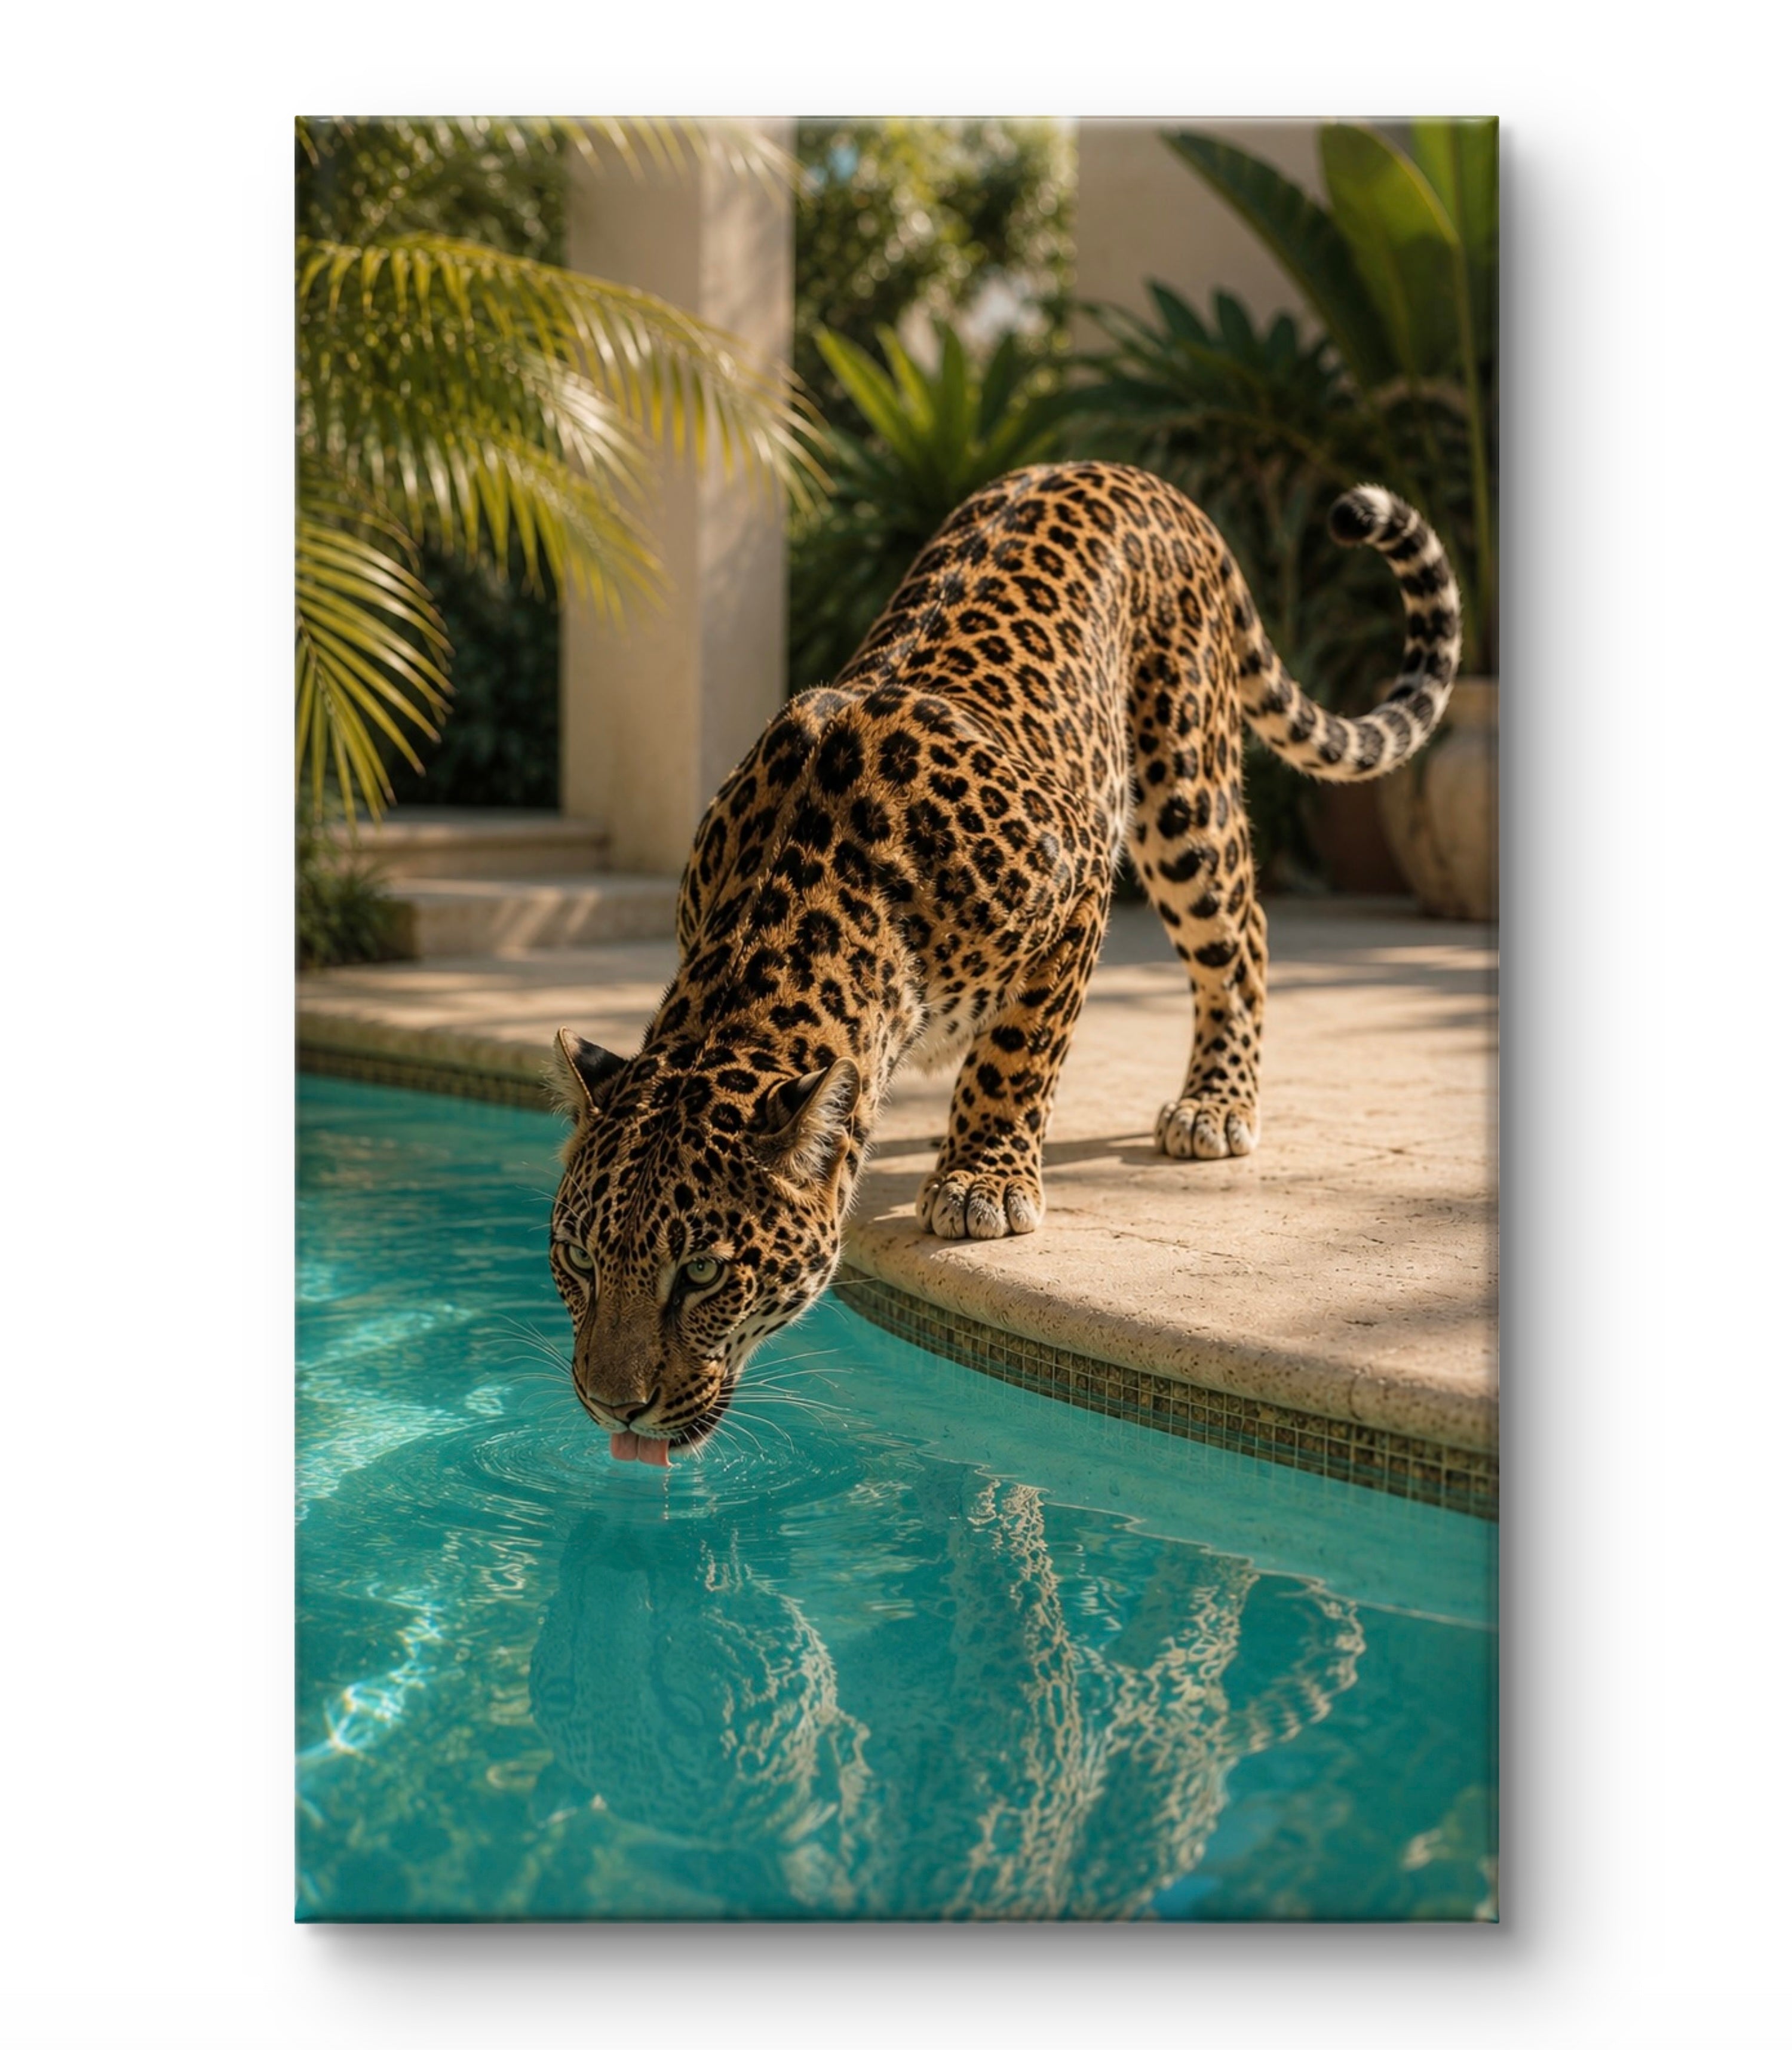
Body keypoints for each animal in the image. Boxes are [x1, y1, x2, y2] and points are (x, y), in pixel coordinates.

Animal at [547, 461, 1461, 1464]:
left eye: (704, 1274)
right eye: (579, 1258)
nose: (612, 1407)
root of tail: (1133, 476)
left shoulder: (1078, 888)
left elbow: (1016, 1060)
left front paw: (982, 1182)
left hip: (1185, 792)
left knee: (1243, 934)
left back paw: (1215, 1107)